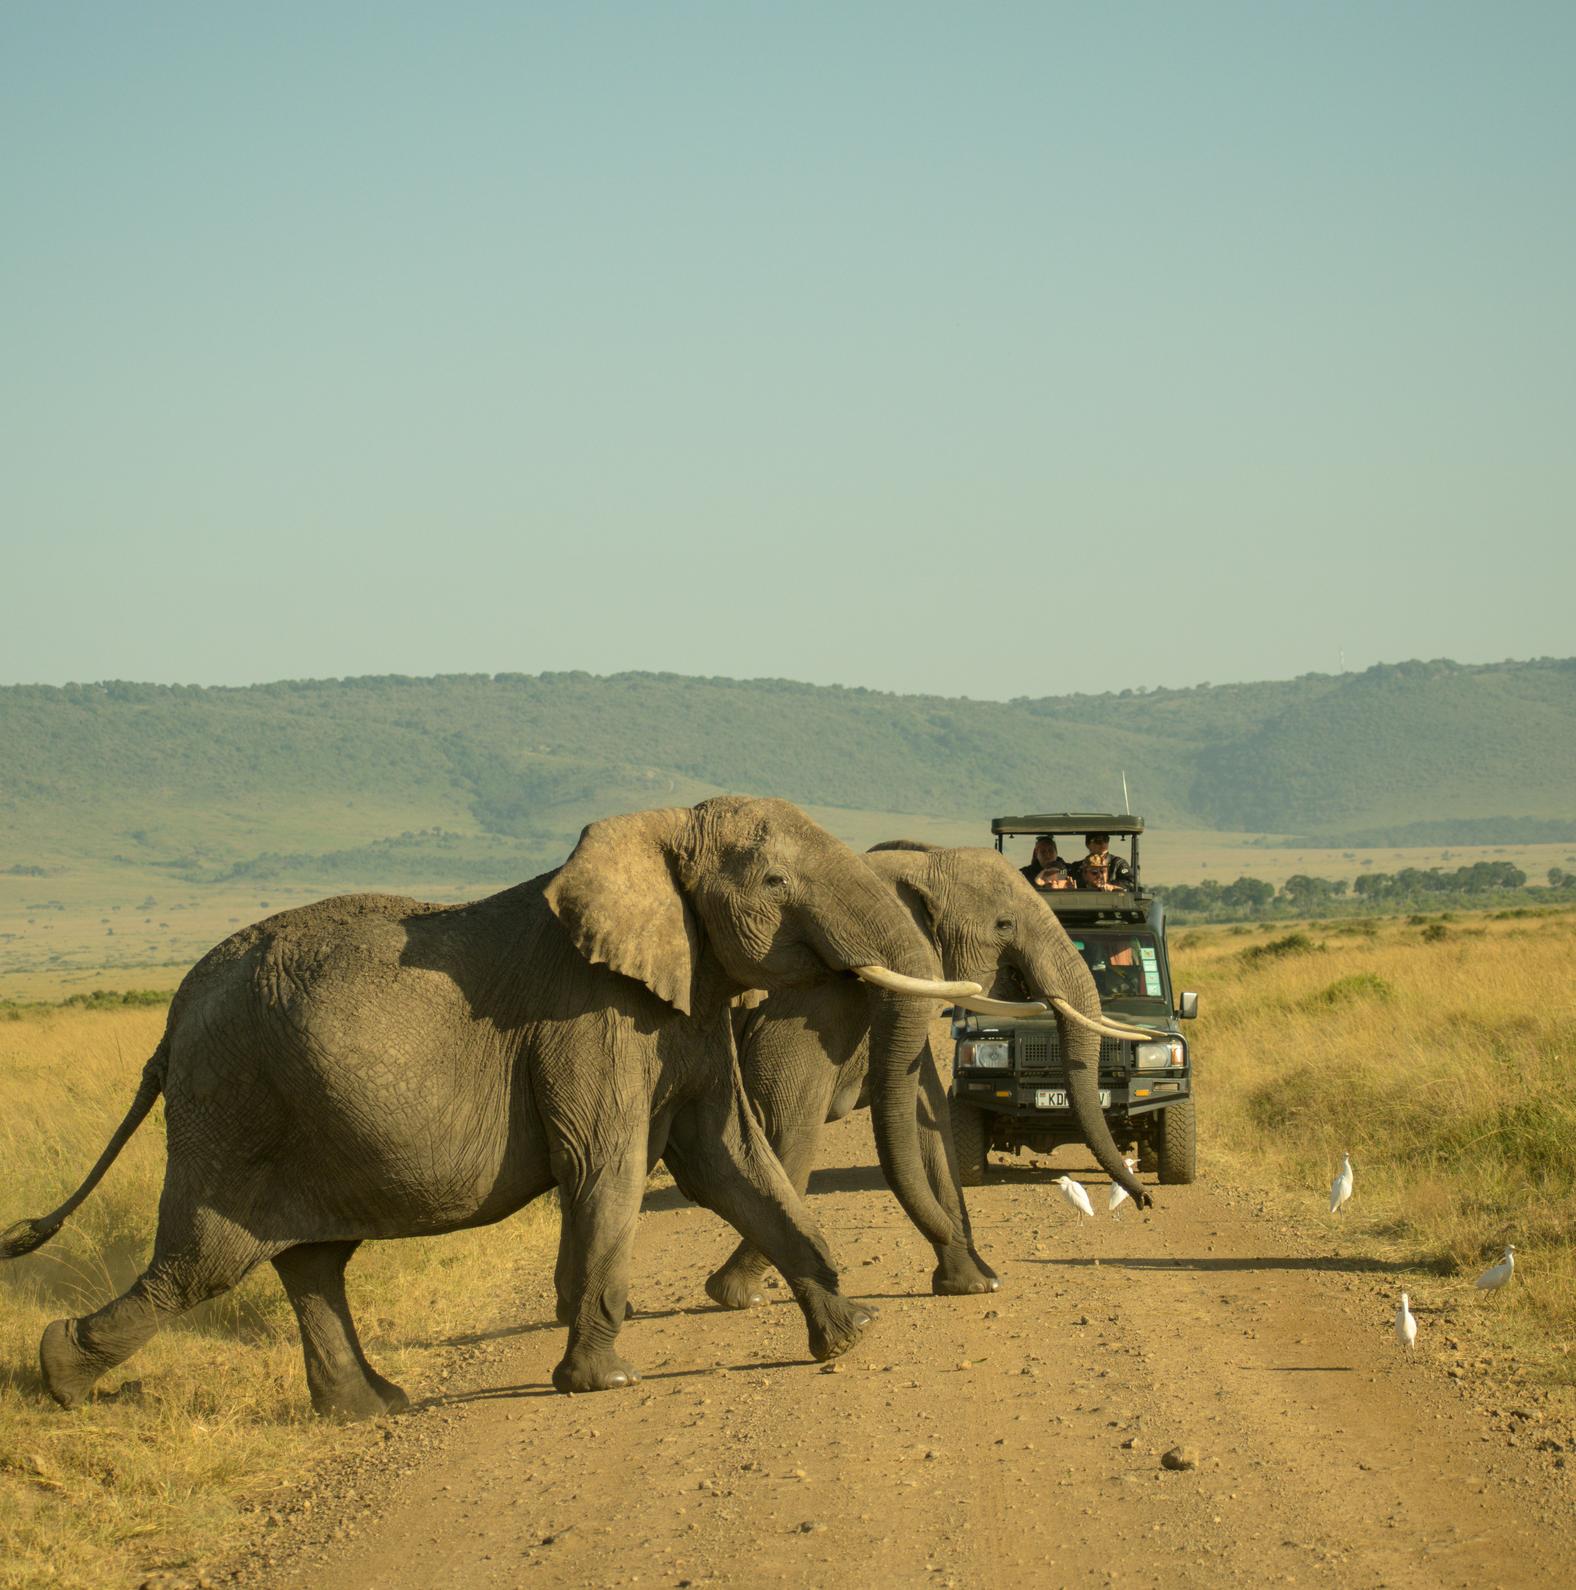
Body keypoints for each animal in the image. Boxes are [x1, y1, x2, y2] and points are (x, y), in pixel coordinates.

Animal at [0, 797, 978, 1419]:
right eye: (775, 882)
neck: (657, 830)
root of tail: (169, 1022)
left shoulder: (687, 1006)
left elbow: (732, 1166)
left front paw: (851, 1336)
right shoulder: (588, 1020)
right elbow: (608, 1170)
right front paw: (602, 1383)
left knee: (310, 1262)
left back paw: (370, 1409)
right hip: (230, 1103)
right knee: (206, 1261)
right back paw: (59, 1377)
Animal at [702, 842, 1154, 1311]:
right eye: (1004, 925)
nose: (1145, 1200)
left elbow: (928, 1125)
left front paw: (976, 1284)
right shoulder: (806, 1005)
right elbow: (789, 1136)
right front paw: (736, 1294)